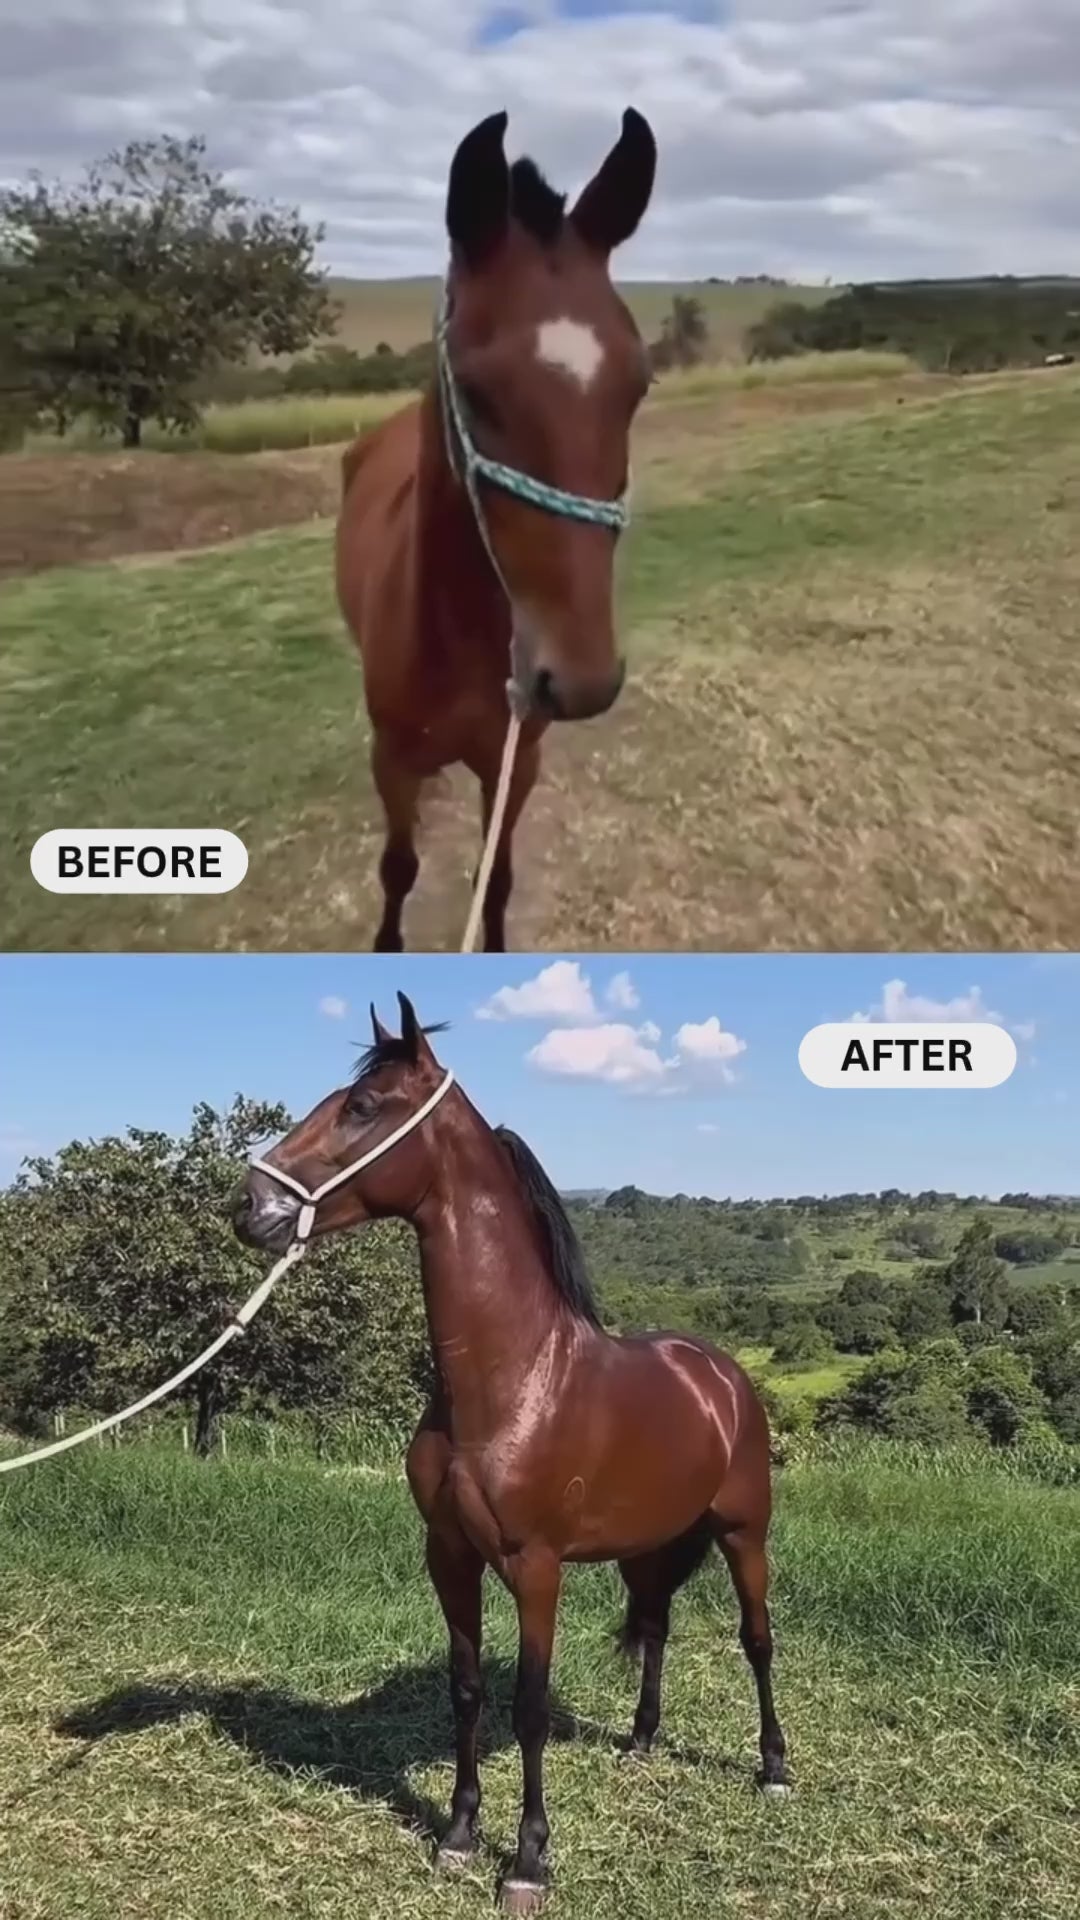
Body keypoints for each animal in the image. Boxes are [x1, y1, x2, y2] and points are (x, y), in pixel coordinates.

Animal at [233, 994, 790, 1913]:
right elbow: (468, 1690)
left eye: (362, 1107)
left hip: (745, 1534)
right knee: (657, 1625)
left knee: (757, 1639)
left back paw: (774, 1767)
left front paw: (528, 1860)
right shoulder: (449, 1553)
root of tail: (722, 1376)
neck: (512, 1381)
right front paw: (459, 1835)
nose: (249, 1206)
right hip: (649, 1546)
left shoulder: (536, 1567)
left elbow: (528, 1705)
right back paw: (640, 1743)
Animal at [336, 109, 658, 953]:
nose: (580, 680)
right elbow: (398, 870)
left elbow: (499, 877)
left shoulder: (518, 763)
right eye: (476, 392)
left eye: (639, 384)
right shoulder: (391, 763)